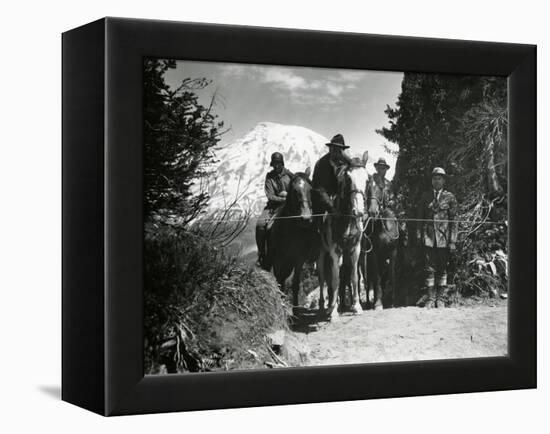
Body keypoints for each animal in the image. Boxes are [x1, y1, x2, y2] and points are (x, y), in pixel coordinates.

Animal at [268, 168, 320, 306]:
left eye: (310, 189)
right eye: (294, 191)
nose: (306, 218)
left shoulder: (298, 259)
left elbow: (295, 284)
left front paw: (295, 308)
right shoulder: (278, 260)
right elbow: (279, 282)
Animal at [316, 154, 368, 320]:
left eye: (367, 179)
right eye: (348, 179)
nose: (359, 211)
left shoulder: (355, 249)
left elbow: (354, 277)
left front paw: (356, 306)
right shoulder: (334, 251)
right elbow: (335, 279)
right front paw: (332, 311)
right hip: (321, 253)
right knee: (322, 277)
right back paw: (324, 306)